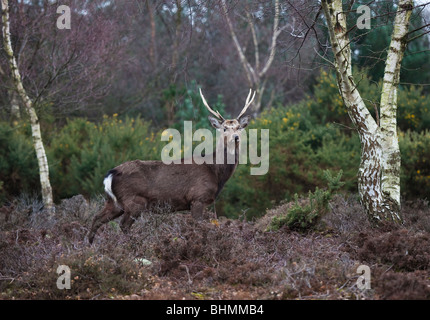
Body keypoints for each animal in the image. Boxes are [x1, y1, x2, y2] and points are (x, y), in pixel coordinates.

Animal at [88, 87, 255, 242]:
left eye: (239, 127)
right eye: (225, 128)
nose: (235, 137)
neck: (215, 172)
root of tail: (110, 174)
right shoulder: (198, 198)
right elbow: (199, 227)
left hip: (113, 202)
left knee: (96, 219)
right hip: (134, 201)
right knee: (123, 225)